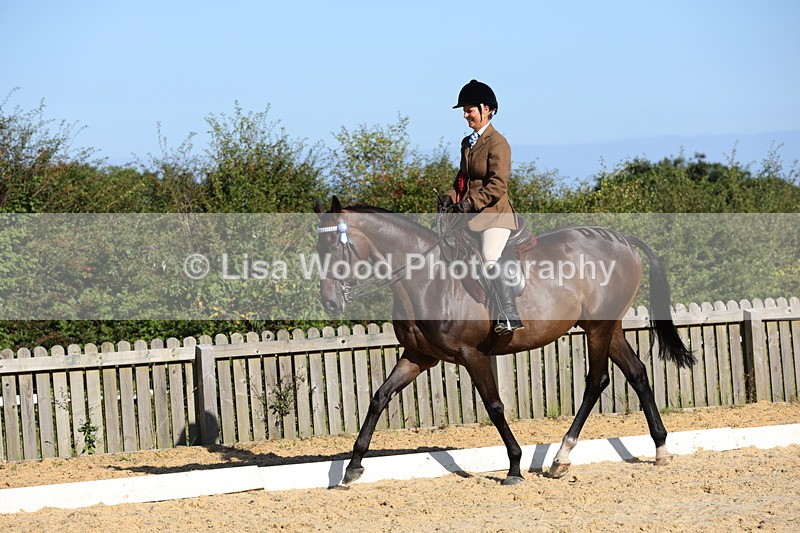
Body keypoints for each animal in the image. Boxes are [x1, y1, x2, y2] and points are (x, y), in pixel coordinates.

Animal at [313, 196, 695, 486]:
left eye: (334, 246)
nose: (330, 303)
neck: (427, 278)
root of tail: (622, 240)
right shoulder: (419, 356)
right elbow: (379, 397)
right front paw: (353, 466)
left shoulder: (471, 354)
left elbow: (494, 405)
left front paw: (514, 466)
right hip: (608, 327)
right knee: (637, 372)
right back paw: (661, 449)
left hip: (599, 329)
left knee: (595, 381)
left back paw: (561, 457)